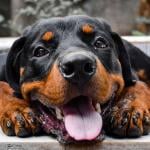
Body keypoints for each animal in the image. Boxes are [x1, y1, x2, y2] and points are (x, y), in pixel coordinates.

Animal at [0, 15, 150, 144]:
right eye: (40, 51)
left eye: (100, 43)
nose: (78, 65)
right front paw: (18, 109)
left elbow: (139, 85)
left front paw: (128, 109)